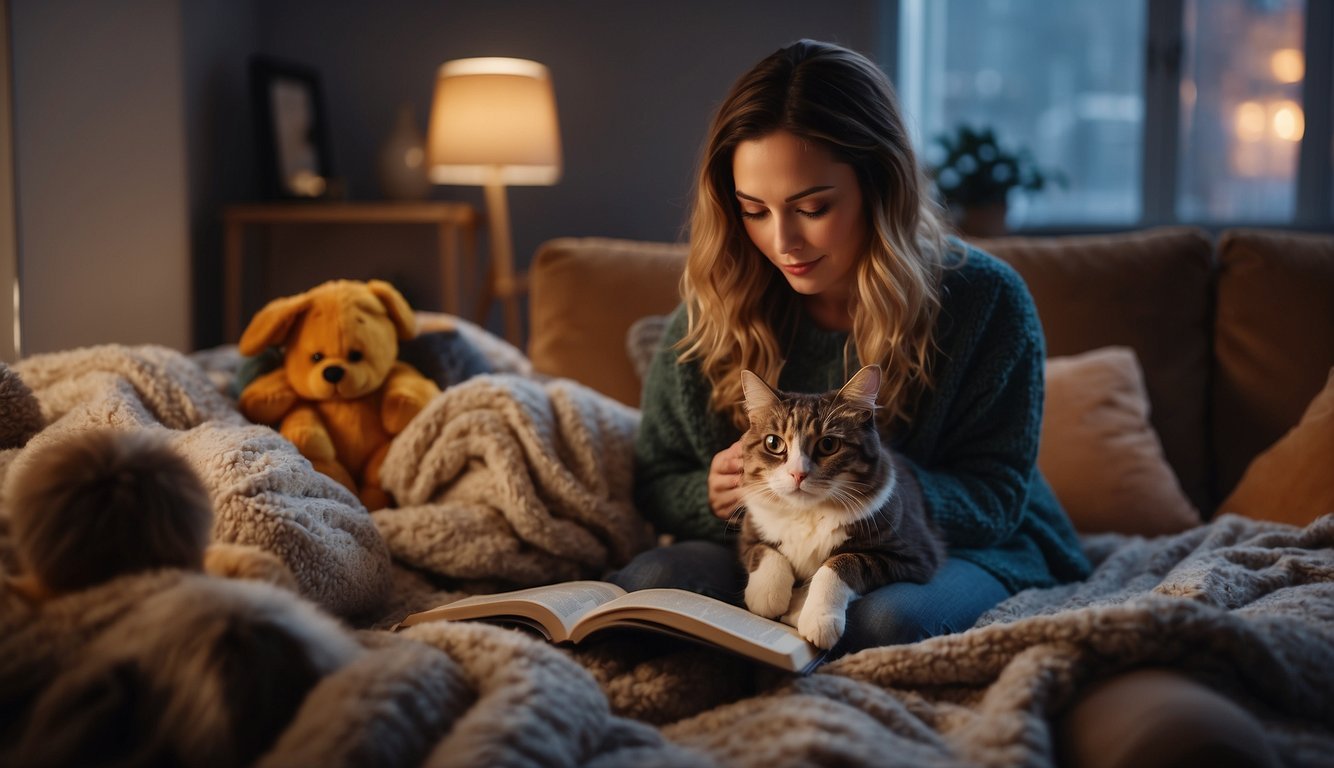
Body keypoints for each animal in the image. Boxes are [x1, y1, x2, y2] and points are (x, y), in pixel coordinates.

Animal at [736, 365, 944, 648]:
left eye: (828, 444)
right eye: (773, 443)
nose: (797, 474)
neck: (808, 513)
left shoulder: (913, 555)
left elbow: (840, 562)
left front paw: (815, 617)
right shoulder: (750, 531)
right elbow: (764, 550)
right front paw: (767, 595)